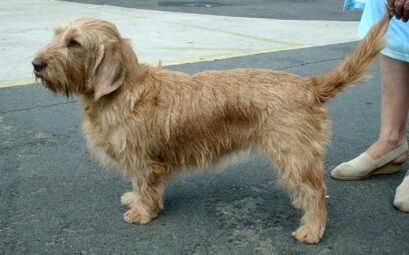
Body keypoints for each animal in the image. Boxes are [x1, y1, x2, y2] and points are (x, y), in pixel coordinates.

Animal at [31, 13, 388, 243]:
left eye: (74, 43)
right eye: (56, 34)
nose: (36, 64)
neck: (121, 90)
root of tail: (308, 86)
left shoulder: (142, 159)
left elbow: (146, 186)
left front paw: (143, 212)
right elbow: (138, 185)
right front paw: (134, 200)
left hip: (293, 156)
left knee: (316, 193)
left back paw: (311, 230)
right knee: (312, 189)